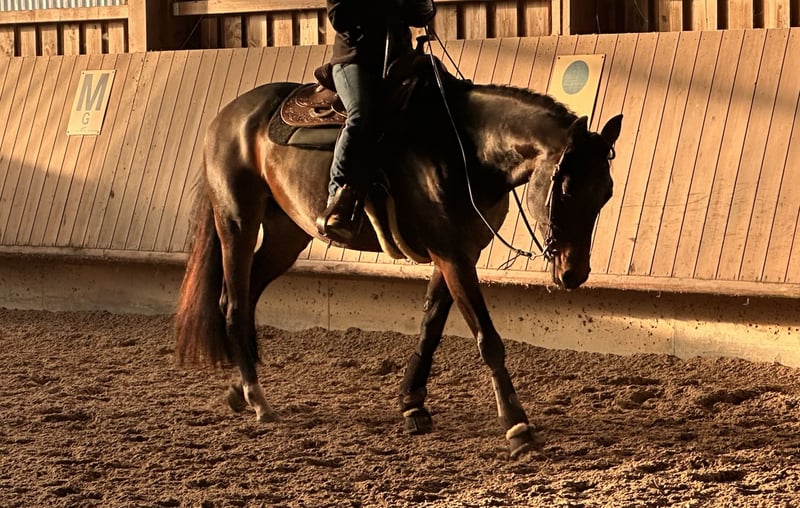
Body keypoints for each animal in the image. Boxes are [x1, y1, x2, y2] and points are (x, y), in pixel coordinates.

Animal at [174, 55, 623, 459]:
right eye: (566, 189)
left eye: (606, 193)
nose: (574, 272)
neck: (462, 149)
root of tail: (228, 115)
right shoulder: (451, 254)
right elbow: (487, 338)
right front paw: (517, 426)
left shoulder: (458, 253)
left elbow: (431, 327)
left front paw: (412, 404)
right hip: (237, 222)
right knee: (233, 302)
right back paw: (258, 399)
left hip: (287, 234)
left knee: (248, 293)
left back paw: (240, 389)